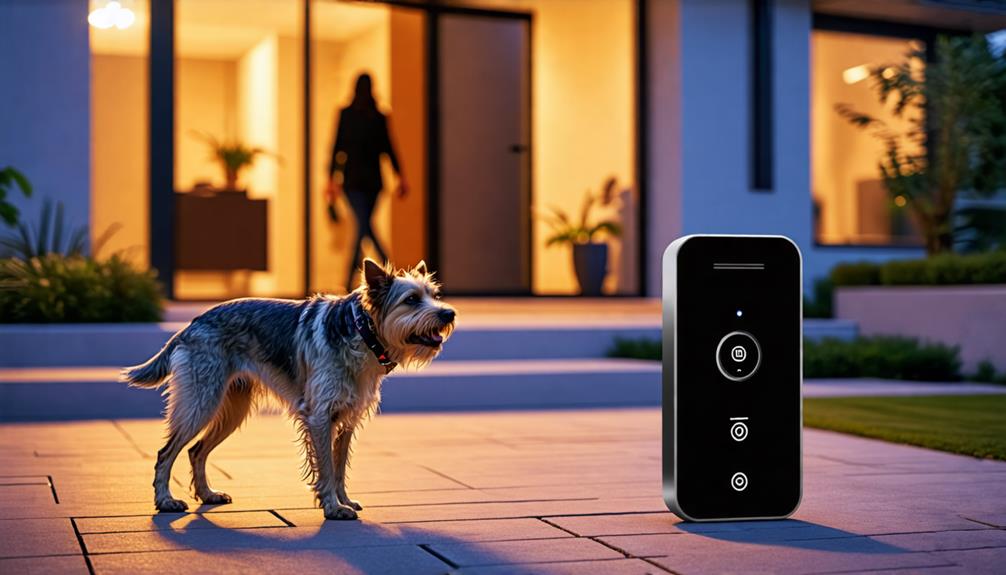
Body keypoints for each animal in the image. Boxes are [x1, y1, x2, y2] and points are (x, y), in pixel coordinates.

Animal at [121, 257, 456, 518]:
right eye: (411, 300)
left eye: (434, 295)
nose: (449, 313)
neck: (362, 332)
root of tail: (191, 324)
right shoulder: (320, 416)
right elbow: (326, 466)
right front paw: (333, 508)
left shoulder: (347, 418)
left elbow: (339, 466)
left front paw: (343, 501)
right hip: (200, 403)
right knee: (166, 453)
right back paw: (165, 501)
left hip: (232, 409)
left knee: (195, 450)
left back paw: (207, 494)